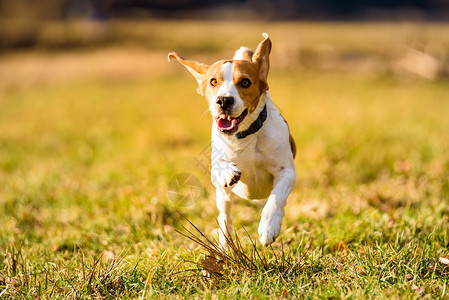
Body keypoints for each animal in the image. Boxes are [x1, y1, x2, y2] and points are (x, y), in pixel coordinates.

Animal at [167, 33, 294, 248]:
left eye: (245, 82)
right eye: (213, 81)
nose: (224, 100)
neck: (247, 135)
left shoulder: (287, 172)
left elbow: (276, 196)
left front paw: (269, 226)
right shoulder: (215, 171)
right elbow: (219, 166)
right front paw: (228, 171)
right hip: (223, 197)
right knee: (225, 217)